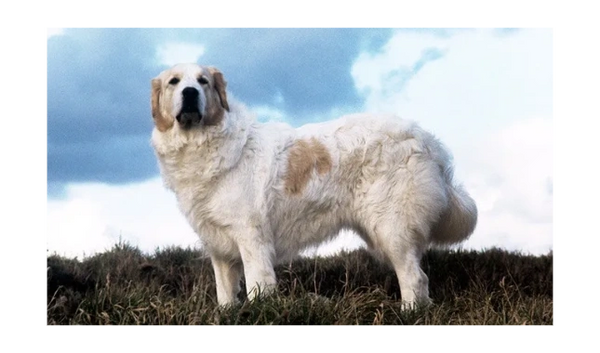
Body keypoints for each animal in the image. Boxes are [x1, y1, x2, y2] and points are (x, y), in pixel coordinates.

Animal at [150, 64, 478, 306]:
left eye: (202, 81)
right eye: (174, 81)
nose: (190, 93)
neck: (204, 144)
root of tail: (425, 139)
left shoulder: (252, 239)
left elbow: (257, 286)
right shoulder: (219, 249)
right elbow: (225, 297)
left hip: (392, 228)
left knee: (415, 279)